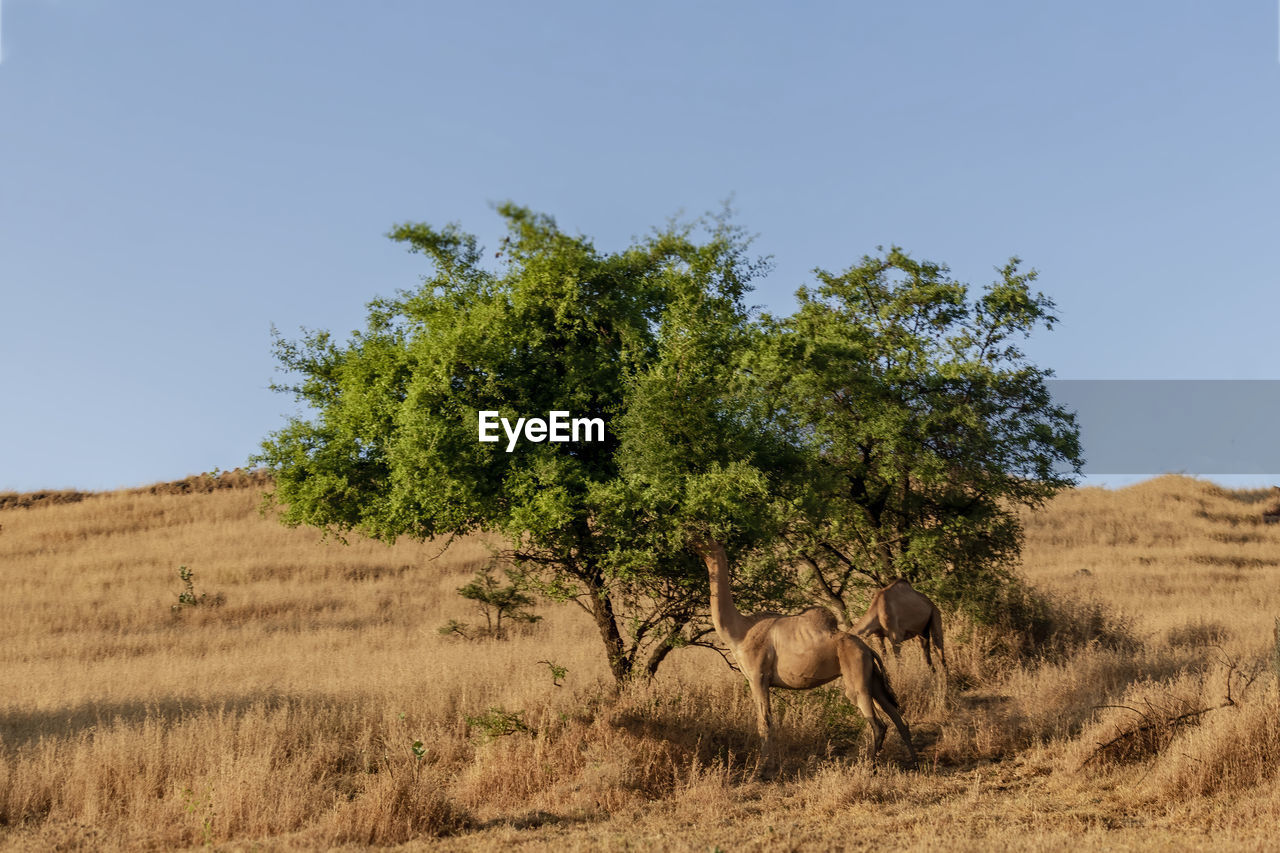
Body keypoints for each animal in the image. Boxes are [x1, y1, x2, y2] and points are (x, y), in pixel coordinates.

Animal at [696, 537, 916, 768]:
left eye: (705, 540)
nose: (692, 542)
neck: (740, 632)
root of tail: (868, 649)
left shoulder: (758, 677)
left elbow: (764, 723)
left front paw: (762, 768)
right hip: (873, 678)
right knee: (899, 719)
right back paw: (915, 763)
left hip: (857, 677)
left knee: (878, 724)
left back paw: (869, 766)